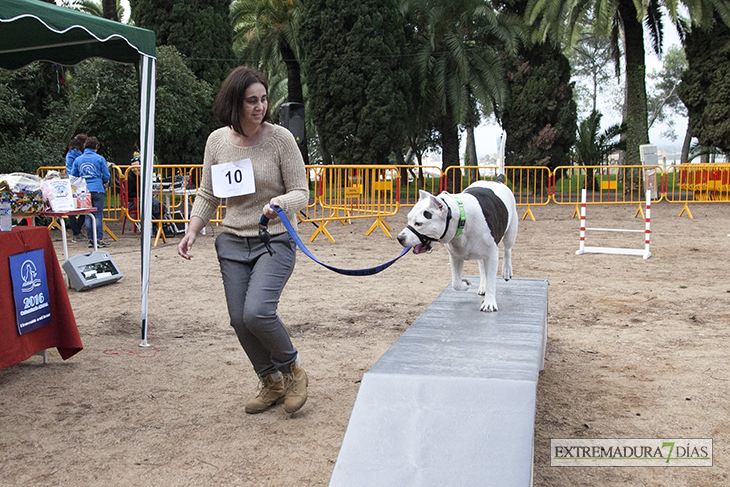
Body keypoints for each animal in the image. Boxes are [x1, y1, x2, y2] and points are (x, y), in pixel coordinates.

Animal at [398, 179, 516, 312]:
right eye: (408, 218)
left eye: (418, 223)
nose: (399, 238)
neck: (461, 219)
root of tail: (497, 180)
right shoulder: (456, 257)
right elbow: (456, 283)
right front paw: (465, 284)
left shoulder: (491, 255)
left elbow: (491, 280)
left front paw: (489, 303)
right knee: (482, 267)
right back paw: (483, 286)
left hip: (511, 233)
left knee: (507, 249)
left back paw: (506, 270)